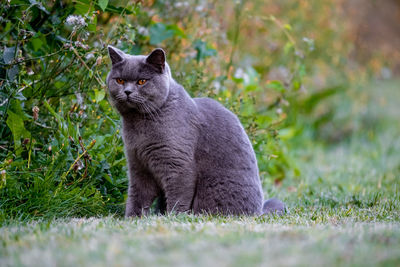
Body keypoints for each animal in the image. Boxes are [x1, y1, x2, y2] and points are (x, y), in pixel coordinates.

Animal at [106, 46, 284, 218]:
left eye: (142, 81)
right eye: (120, 80)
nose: (127, 92)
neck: (139, 127)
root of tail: (258, 213)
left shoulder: (178, 165)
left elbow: (178, 197)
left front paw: (174, 218)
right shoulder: (138, 165)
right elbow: (137, 196)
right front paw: (132, 218)